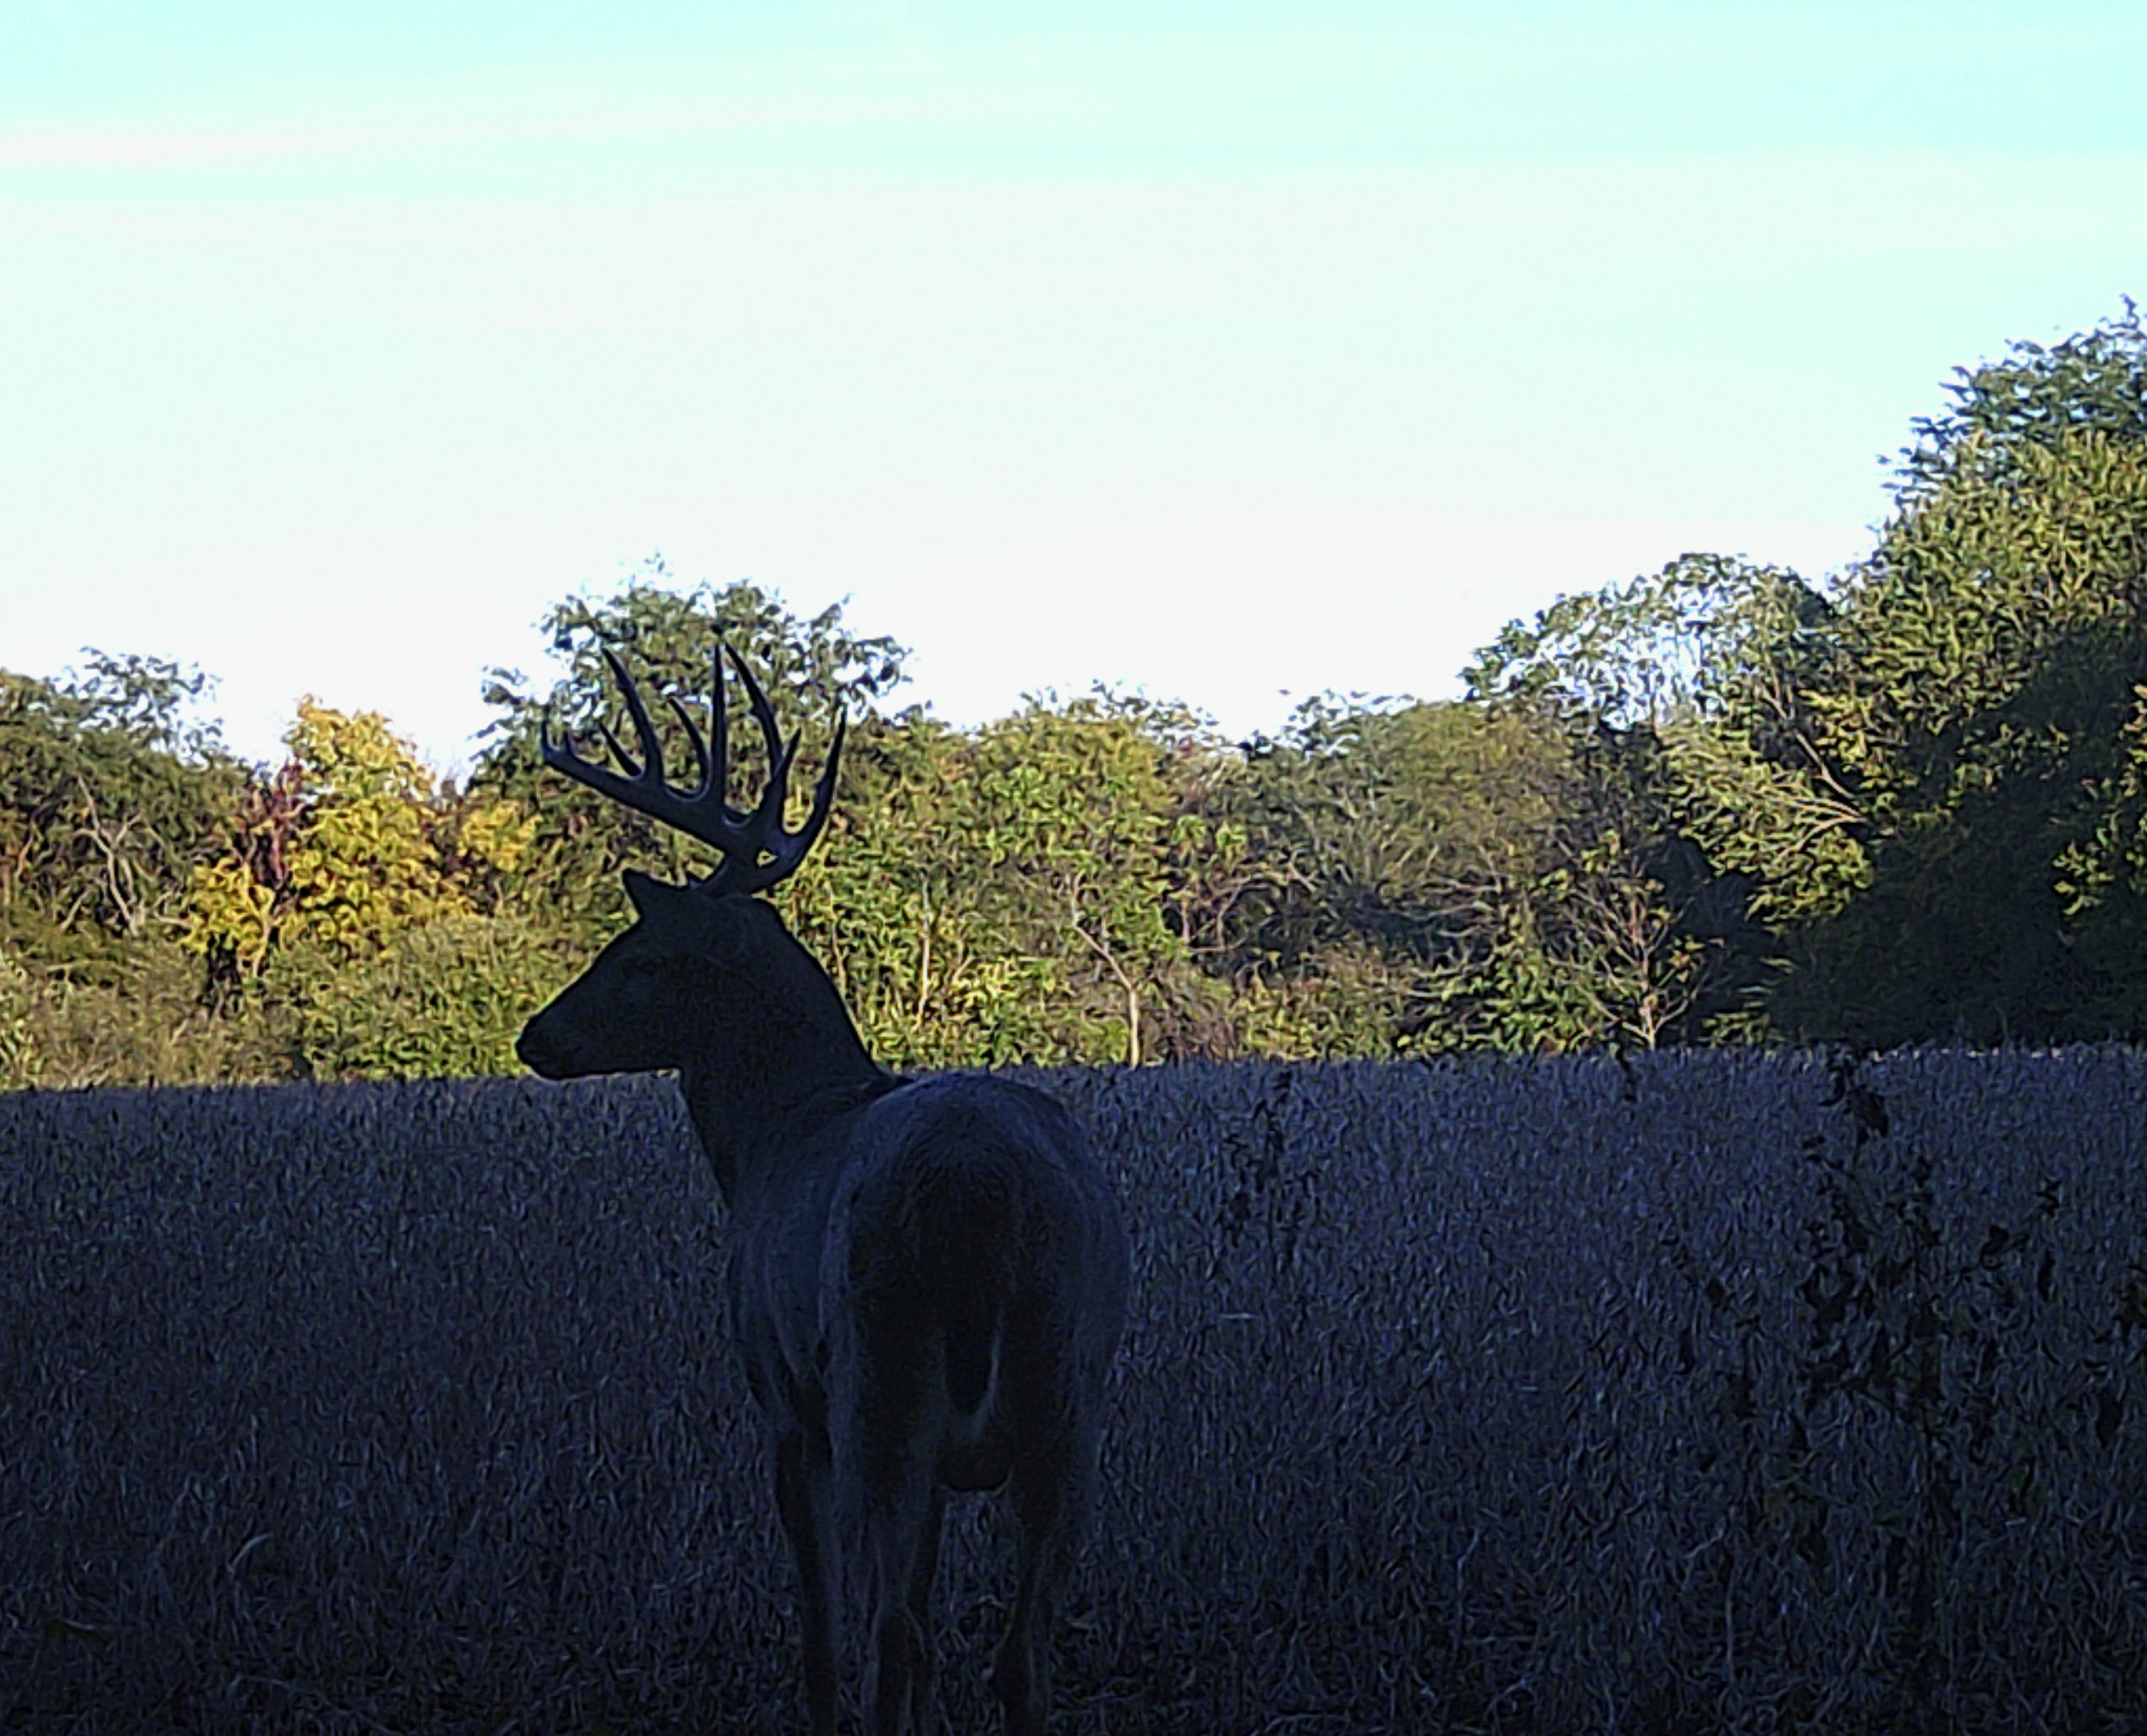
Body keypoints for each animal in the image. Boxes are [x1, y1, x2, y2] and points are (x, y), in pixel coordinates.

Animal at [514, 644, 1131, 1736]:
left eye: (637, 956)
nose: (535, 1035)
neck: (774, 1134)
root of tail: (978, 1190)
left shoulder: (779, 1394)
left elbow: (818, 1625)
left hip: (875, 1380)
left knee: (892, 1635)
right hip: (1070, 1391)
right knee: (1016, 1653)